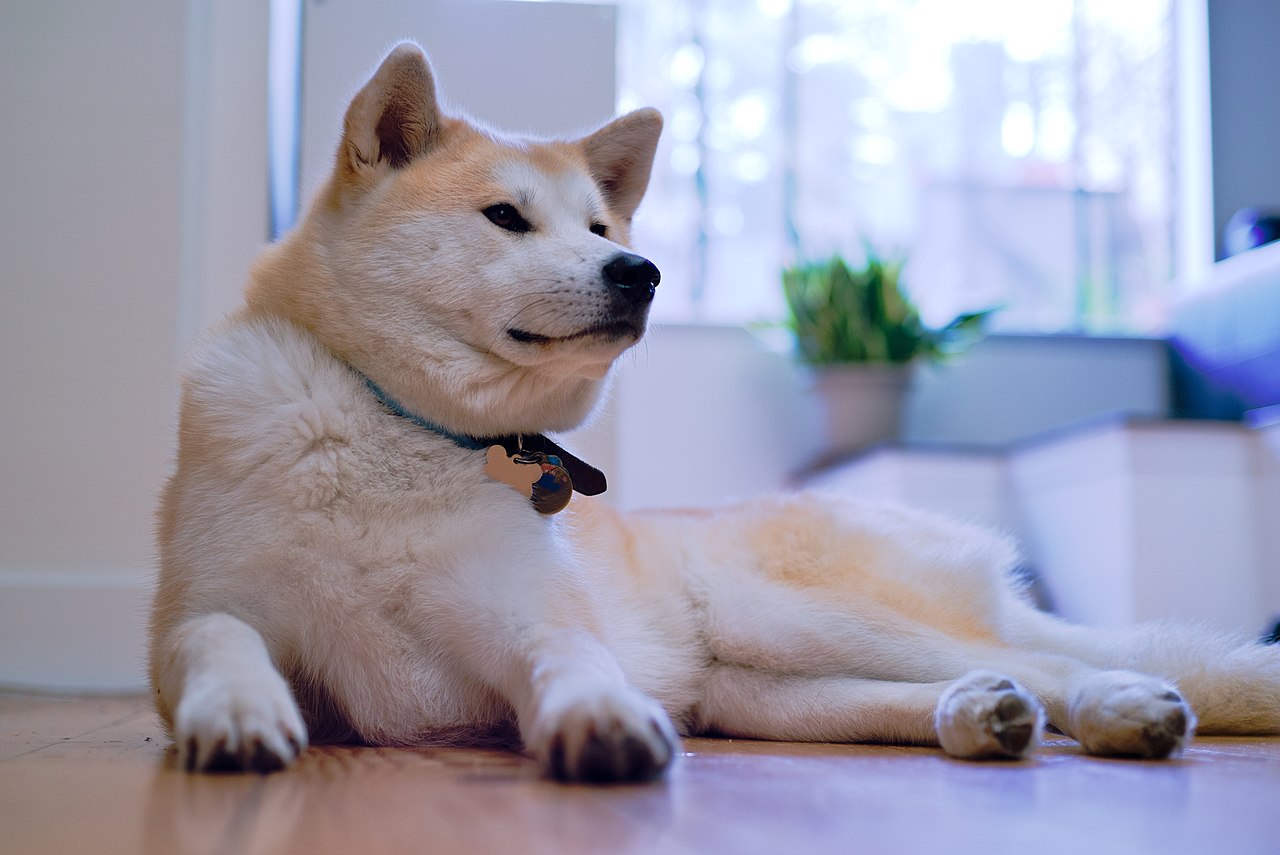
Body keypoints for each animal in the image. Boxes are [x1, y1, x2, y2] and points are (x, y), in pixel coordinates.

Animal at [152, 45, 1280, 783]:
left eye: (602, 226)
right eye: (506, 216)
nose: (640, 270)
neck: (399, 429)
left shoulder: (526, 616)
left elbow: (570, 658)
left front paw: (600, 714)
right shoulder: (201, 611)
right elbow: (217, 641)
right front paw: (238, 709)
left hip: (784, 612)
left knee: (1058, 663)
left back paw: (1118, 707)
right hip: (761, 685)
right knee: (992, 682)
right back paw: (980, 714)